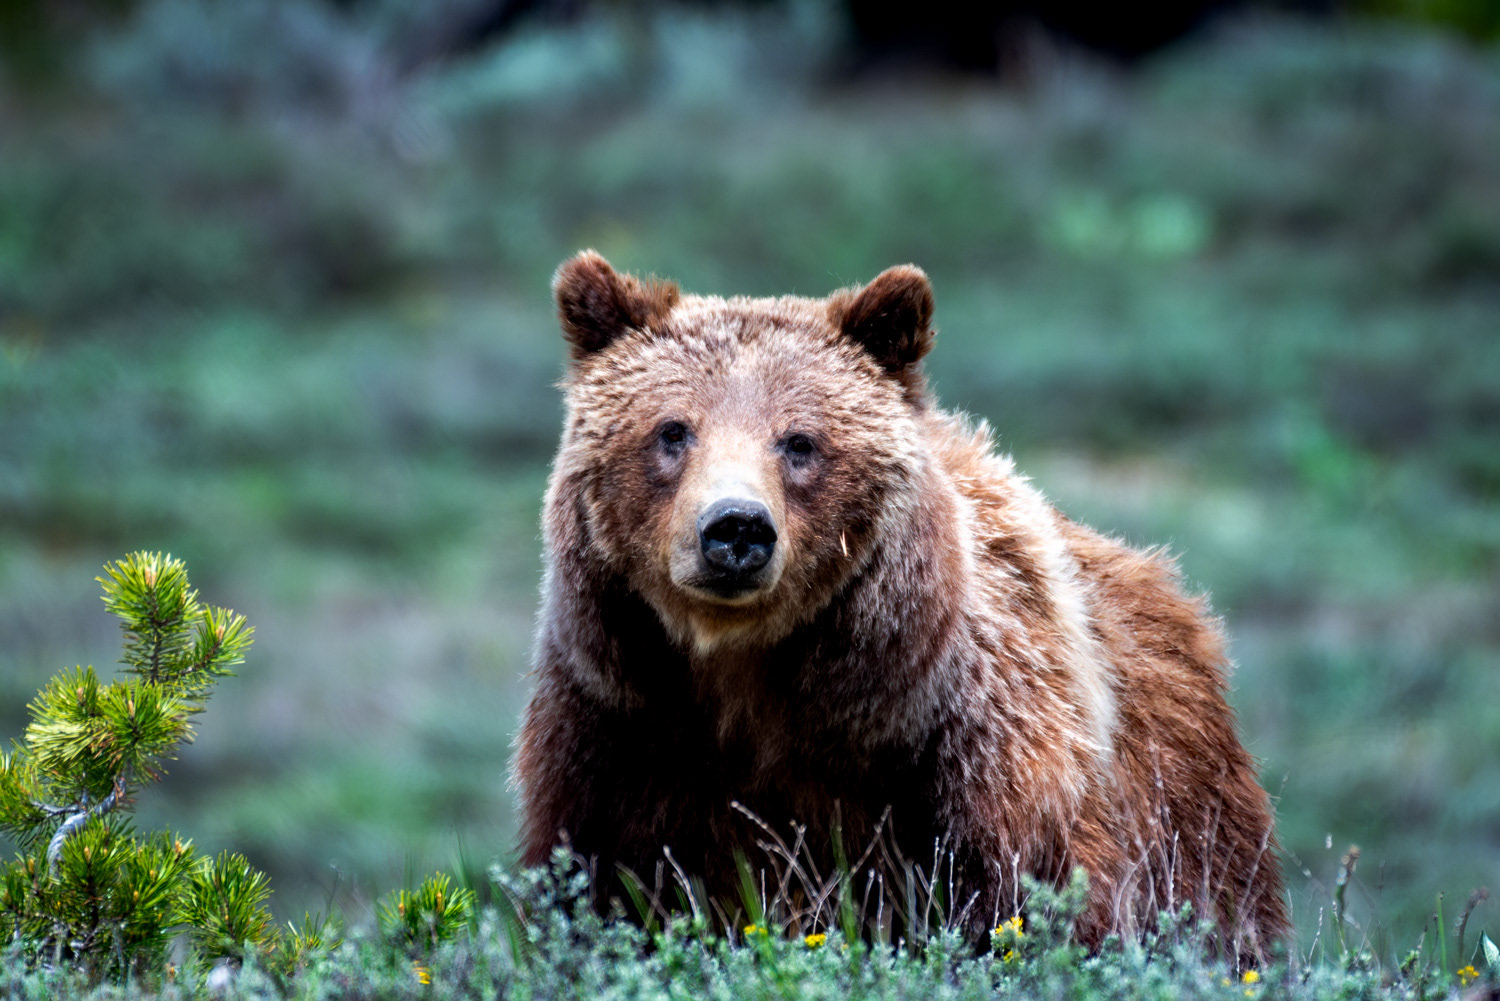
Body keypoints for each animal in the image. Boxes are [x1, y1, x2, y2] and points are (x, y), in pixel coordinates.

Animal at [512, 250, 1289, 956]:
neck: (747, 677)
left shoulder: (973, 748)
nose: (735, 527)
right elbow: (609, 887)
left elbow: (1023, 898)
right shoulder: (619, 730)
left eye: (800, 441)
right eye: (673, 430)